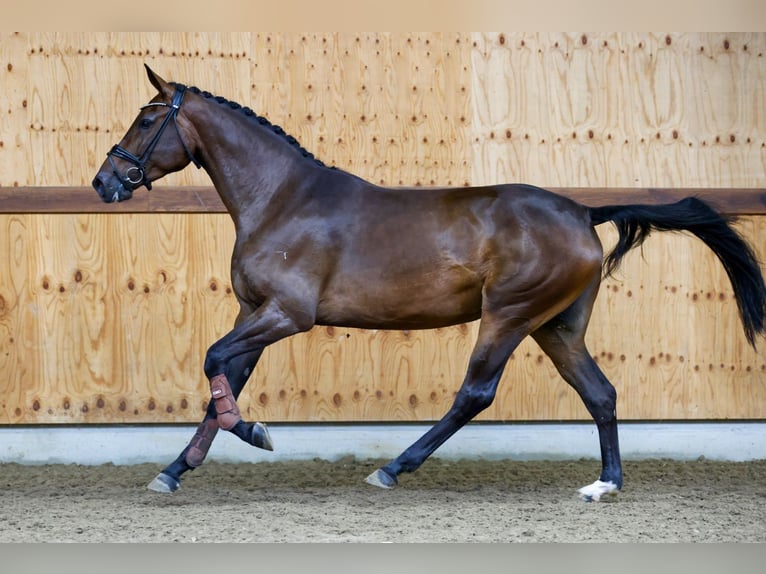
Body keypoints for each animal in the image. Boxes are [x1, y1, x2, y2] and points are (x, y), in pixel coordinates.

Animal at [93, 65, 764, 502]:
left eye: (147, 119)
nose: (104, 182)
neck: (282, 199)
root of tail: (581, 212)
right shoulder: (253, 313)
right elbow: (220, 385)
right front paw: (174, 470)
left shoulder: (286, 313)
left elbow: (213, 363)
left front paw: (256, 434)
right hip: (556, 327)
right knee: (600, 393)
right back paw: (606, 484)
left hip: (510, 315)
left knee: (476, 393)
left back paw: (393, 468)